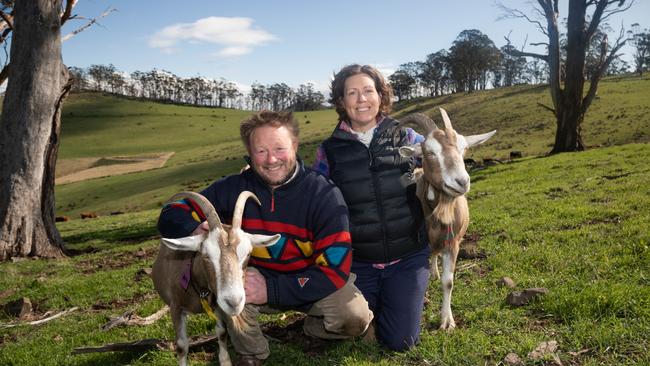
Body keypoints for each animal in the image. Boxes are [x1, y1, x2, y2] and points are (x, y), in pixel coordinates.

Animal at [154, 192, 280, 366]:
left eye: (248, 254)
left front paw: (225, 361)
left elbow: (221, 332)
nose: (234, 302)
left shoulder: (217, 305)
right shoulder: (176, 307)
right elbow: (182, 346)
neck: (199, 289)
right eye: (206, 255)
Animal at [394, 108, 496, 332]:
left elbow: (448, 282)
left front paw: (447, 321)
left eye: (464, 149)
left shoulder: (453, 242)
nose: (462, 182)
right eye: (429, 152)